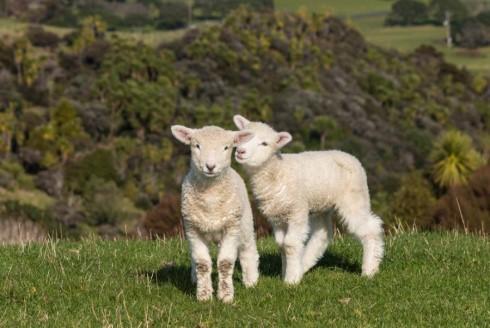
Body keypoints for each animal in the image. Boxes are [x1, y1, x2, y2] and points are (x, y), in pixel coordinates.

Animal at [170, 125, 260, 302]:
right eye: (197, 146)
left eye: (226, 147)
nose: (210, 166)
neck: (210, 199)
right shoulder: (193, 229)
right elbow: (202, 263)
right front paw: (204, 295)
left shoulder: (231, 228)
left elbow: (225, 263)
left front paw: (226, 296)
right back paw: (194, 278)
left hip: (244, 223)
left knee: (248, 249)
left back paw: (251, 280)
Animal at [233, 115, 382, 284]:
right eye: (242, 136)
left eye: (264, 143)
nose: (240, 151)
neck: (276, 172)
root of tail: (351, 157)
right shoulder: (277, 216)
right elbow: (281, 244)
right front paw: (286, 272)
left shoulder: (297, 210)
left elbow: (290, 243)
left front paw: (290, 280)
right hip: (322, 204)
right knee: (322, 235)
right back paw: (303, 265)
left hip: (354, 198)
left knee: (370, 228)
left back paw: (369, 270)